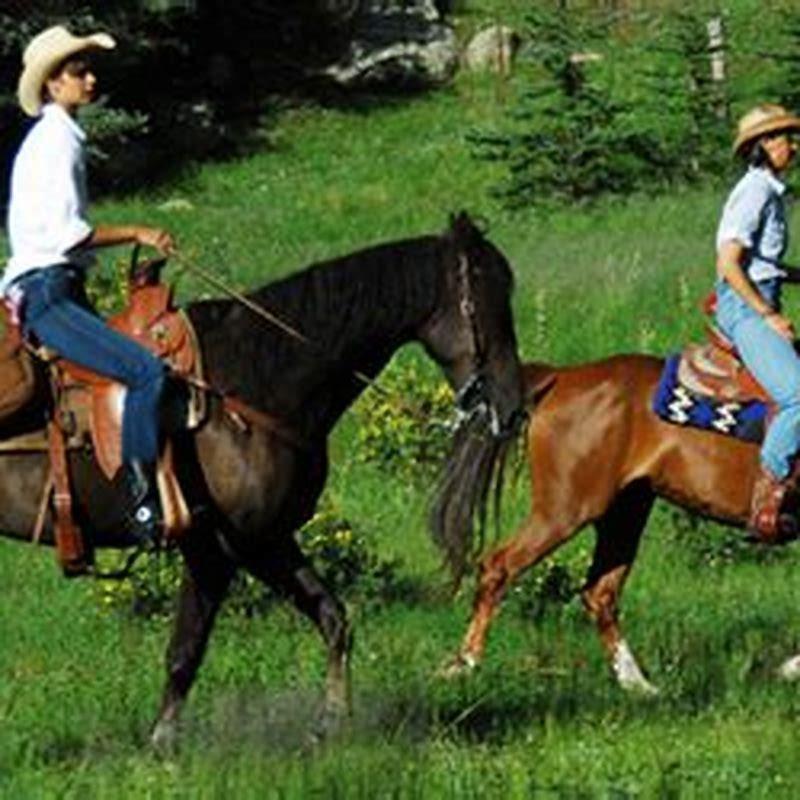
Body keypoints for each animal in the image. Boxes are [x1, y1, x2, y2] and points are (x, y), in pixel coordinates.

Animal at [0, 212, 524, 748]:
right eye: (484, 299)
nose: (513, 407)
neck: (249, 383)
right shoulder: (220, 546)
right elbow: (185, 650)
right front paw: (163, 742)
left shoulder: (268, 536)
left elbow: (334, 617)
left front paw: (331, 721)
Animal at [441, 353, 800, 693]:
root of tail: (560, 377)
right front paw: (789, 669)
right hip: (564, 510)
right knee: (498, 567)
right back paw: (464, 665)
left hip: (625, 513)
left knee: (599, 593)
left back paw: (637, 685)